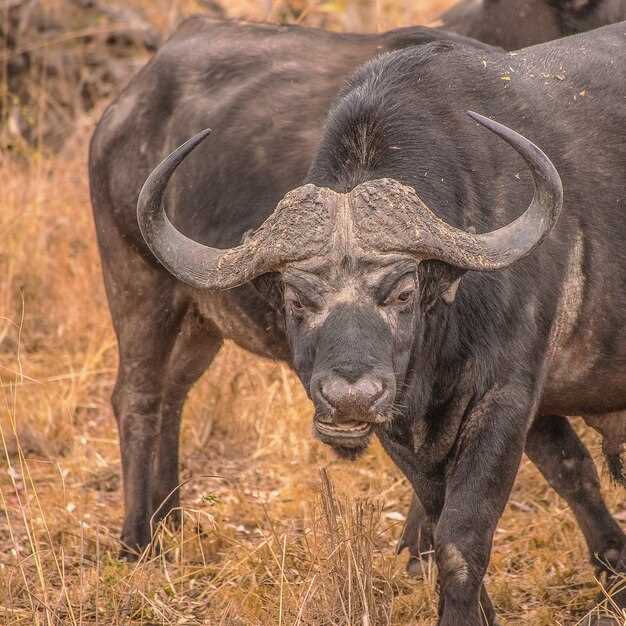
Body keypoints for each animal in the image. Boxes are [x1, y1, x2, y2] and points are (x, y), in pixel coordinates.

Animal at [136, 23, 624, 624]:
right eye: (296, 299)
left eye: (404, 293)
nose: (351, 398)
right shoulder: (401, 423)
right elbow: (439, 518)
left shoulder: (506, 399)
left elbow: (462, 536)